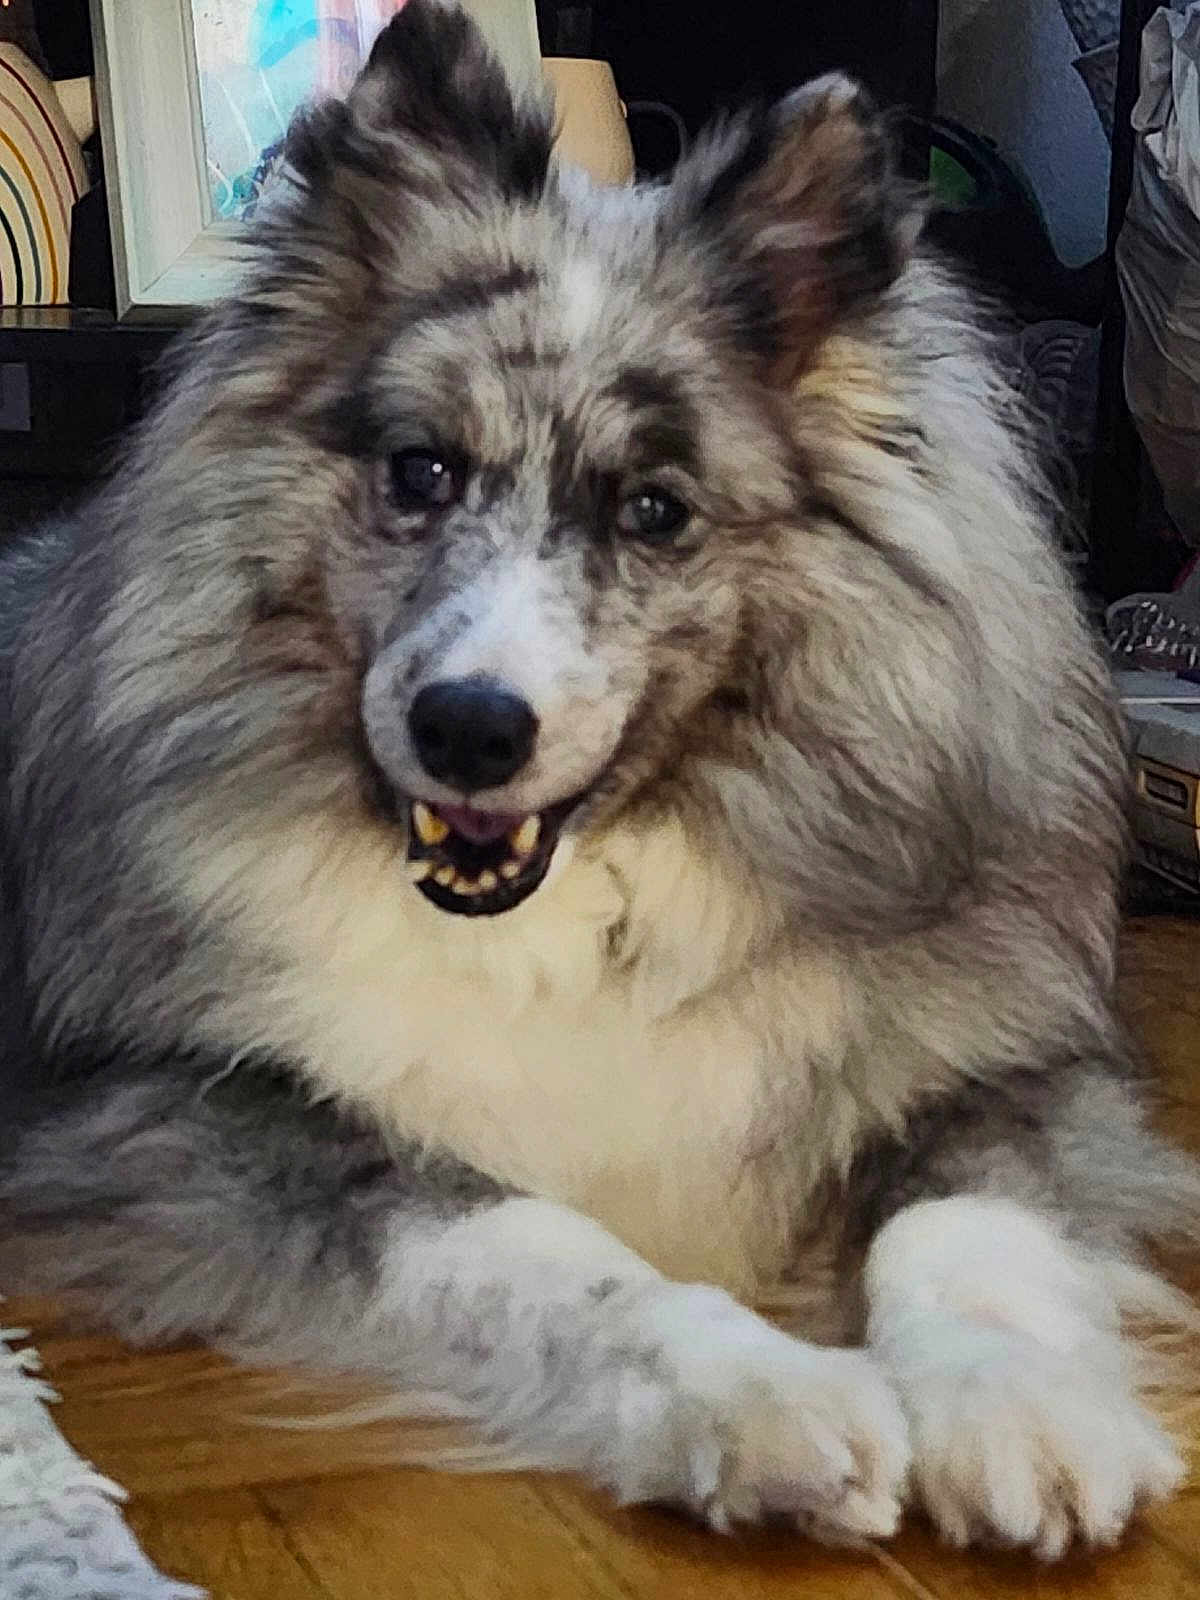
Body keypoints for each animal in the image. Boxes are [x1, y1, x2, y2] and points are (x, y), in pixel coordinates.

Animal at [0, 0, 1197, 1560]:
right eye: (421, 471)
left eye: (655, 511)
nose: (466, 730)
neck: (590, 909)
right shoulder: (199, 1111)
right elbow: (545, 1247)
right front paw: (765, 1399)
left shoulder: (1011, 1070)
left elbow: (968, 1223)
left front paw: (1024, 1423)